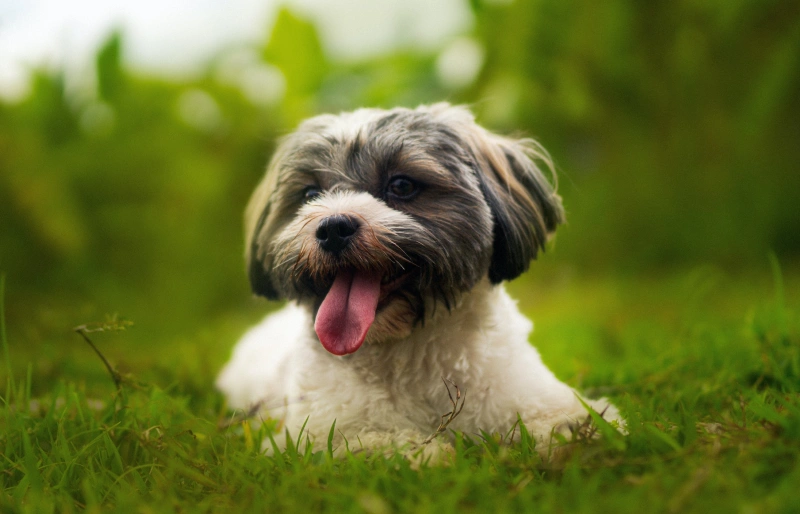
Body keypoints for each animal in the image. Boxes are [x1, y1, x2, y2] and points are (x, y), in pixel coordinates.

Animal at [219, 102, 624, 458]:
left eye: (401, 186)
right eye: (311, 194)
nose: (333, 227)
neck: (406, 349)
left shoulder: (526, 391)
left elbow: (566, 418)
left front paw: (578, 432)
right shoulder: (314, 434)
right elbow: (368, 441)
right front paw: (424, 451)